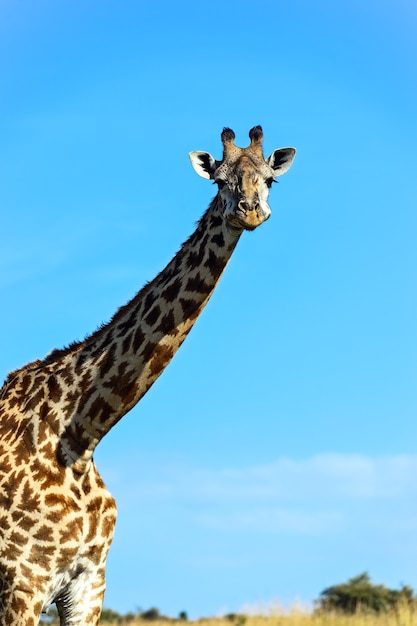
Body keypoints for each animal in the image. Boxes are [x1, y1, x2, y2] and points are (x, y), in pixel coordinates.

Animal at [0, 124, 294, 620]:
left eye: (270, 179)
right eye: (219, 181)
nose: (251, 210)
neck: (82, 433)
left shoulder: (88, 582)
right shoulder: (22, 579)